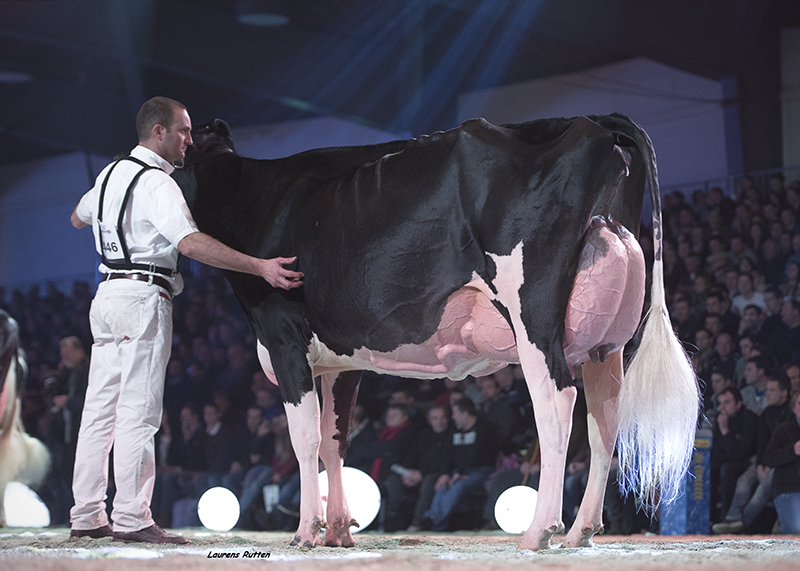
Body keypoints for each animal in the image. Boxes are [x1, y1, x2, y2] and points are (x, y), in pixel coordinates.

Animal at [172, 114, 699, 550]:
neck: (252, 197)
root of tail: (594, 121)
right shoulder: (341, 358)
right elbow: (335, 438)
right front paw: (339, 530)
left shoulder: (283, 337)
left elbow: (304, 439)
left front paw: (305, 532)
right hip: (605, 344)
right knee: (604, 421)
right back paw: (580, 532)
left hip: (533, 315)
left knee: (557, 404)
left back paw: (538, 532)